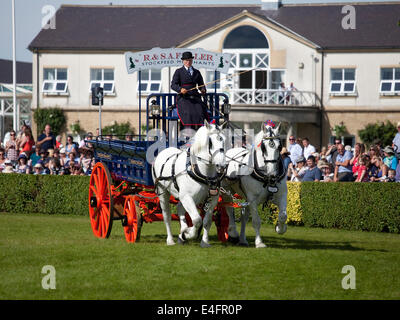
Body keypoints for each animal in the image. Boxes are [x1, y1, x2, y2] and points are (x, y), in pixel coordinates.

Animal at [153, 120, 227, 248]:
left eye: (223, 139)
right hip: (163, 192)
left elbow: (207, 221)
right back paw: (171, 239)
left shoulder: (212, 199)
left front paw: (204, 242)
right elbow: (197, 220)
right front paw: (187, 234)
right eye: (210, 142)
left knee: (180, 208)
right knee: (167, 215)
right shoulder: (186, 196)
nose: (221, 166)